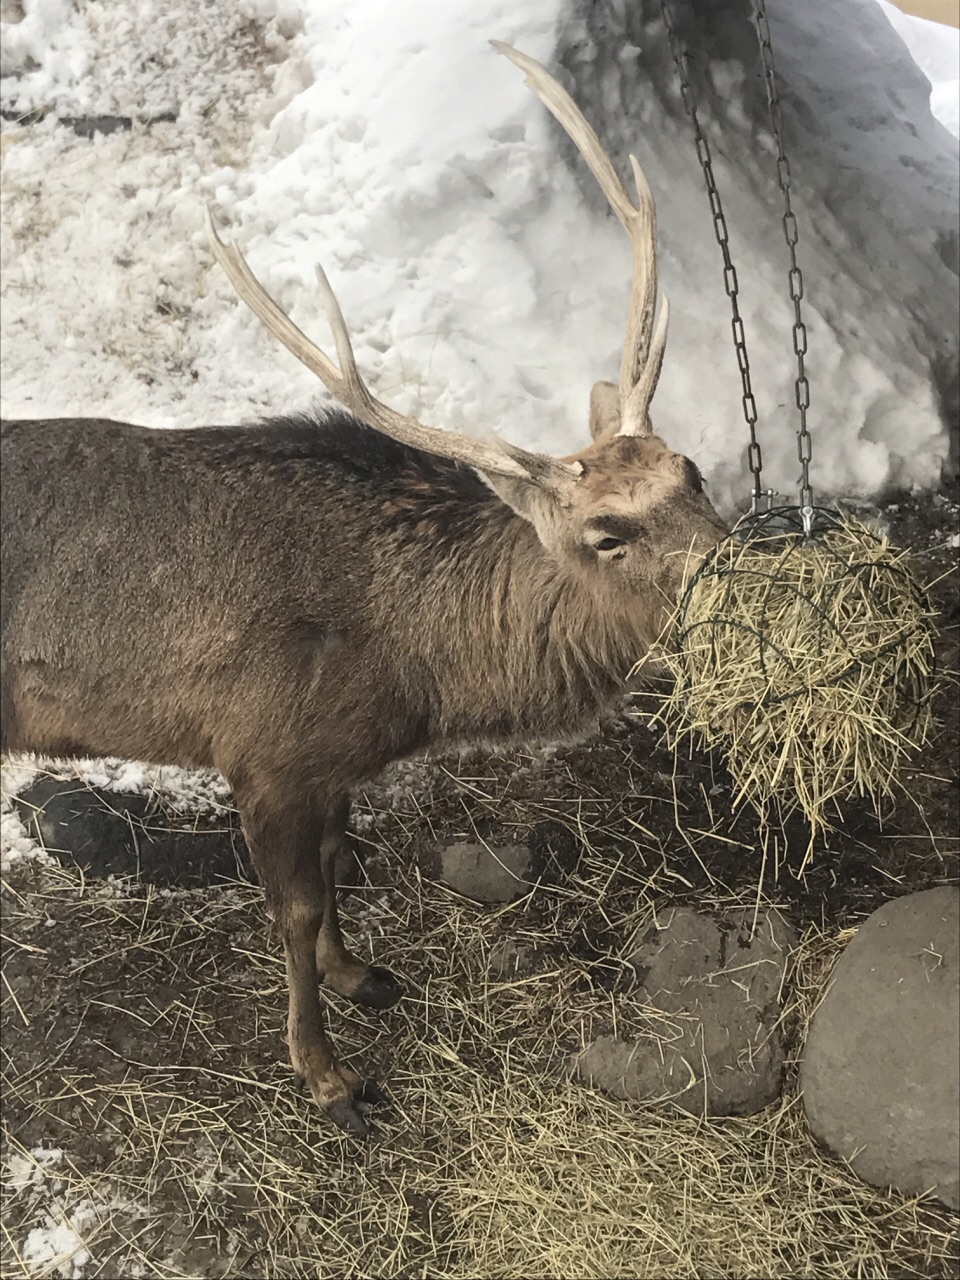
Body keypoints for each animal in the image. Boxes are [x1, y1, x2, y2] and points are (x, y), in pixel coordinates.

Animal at [0, 45, 721, 1136]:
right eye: (607, 532)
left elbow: (343, 855)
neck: (413, 669)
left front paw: (360, 974)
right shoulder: (259, 750)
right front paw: (327, 1073)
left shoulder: (330, 762)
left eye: (693, 469)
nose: (734, 567)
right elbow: (293, 908)